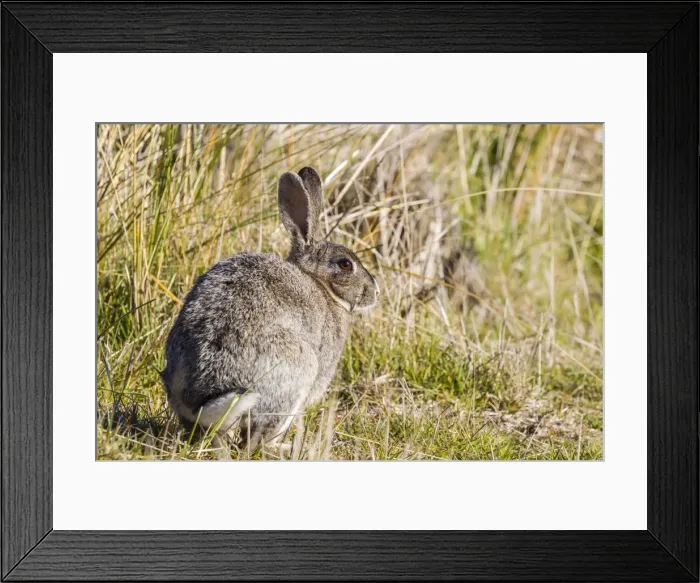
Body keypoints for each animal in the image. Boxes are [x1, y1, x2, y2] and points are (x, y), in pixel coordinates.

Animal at [161, 166, 379, 455]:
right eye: (345, 265)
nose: (375, 292)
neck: (318, 282)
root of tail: (199, 403)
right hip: (296, 374)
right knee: (258, 440)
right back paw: (287, 449)